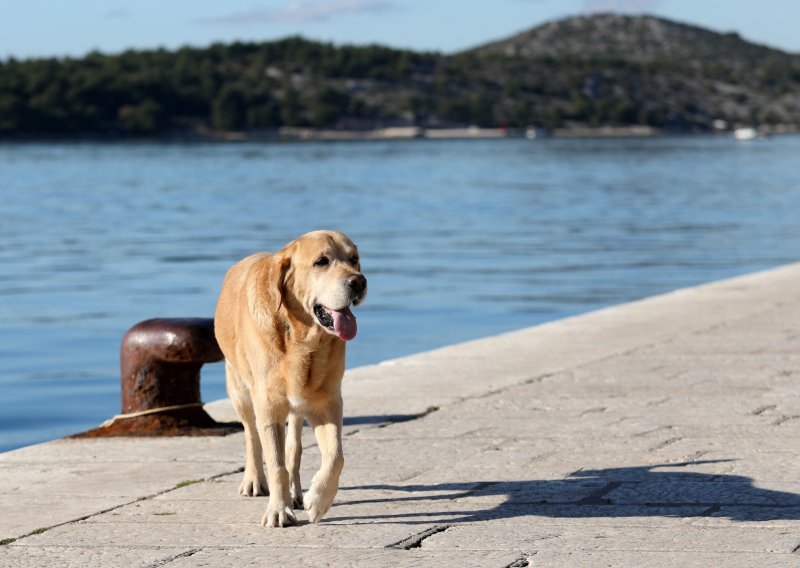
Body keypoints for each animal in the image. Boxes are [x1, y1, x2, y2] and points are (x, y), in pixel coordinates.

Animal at [217, 231, 370, 528]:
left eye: (354, 259)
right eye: (321, 261)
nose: (358, 281)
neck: (301, 339)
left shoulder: (328, 402)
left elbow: (335, 456)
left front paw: (318, 500)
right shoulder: (268, 406)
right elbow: (275, 464)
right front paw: (278, 510)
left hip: (300, 404)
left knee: (294, 447)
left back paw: (296, 492)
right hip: (239, 389)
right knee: (251, 436)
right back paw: (254, 481)